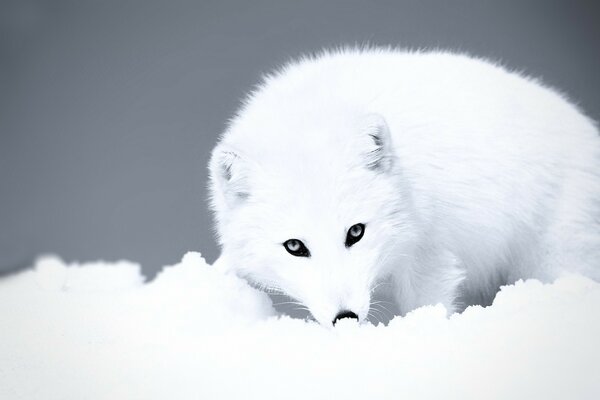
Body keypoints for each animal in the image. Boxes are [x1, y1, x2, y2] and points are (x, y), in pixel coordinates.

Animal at [207, 48, 600, 326]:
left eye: (356, 232)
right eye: (294, 246)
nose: (345, 318)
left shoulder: (430, 252)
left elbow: (427, 304)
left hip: (555, 258)